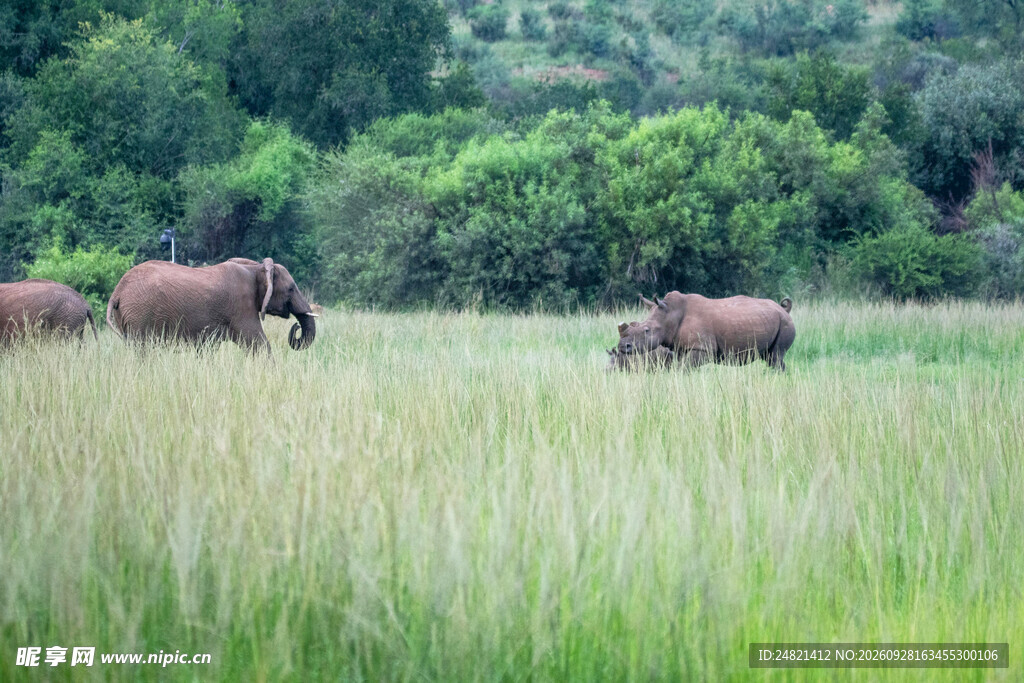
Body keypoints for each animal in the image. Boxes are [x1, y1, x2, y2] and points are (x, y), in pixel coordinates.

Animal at [106, 257, 316, 353]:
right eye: (291, 289)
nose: (296, 327)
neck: (255, 268)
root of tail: (116, 293)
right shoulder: (242, 307)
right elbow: (259, 344)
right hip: (139, 314)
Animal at [616, 292, 795, 371]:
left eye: (647, 330)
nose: (622, 346)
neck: (671, 314)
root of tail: (784, 310)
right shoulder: (681, 348)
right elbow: (680, 366)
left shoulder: (702, 348)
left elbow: (685, 367)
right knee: (771, 357)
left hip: (785, 323)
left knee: (775, 356)